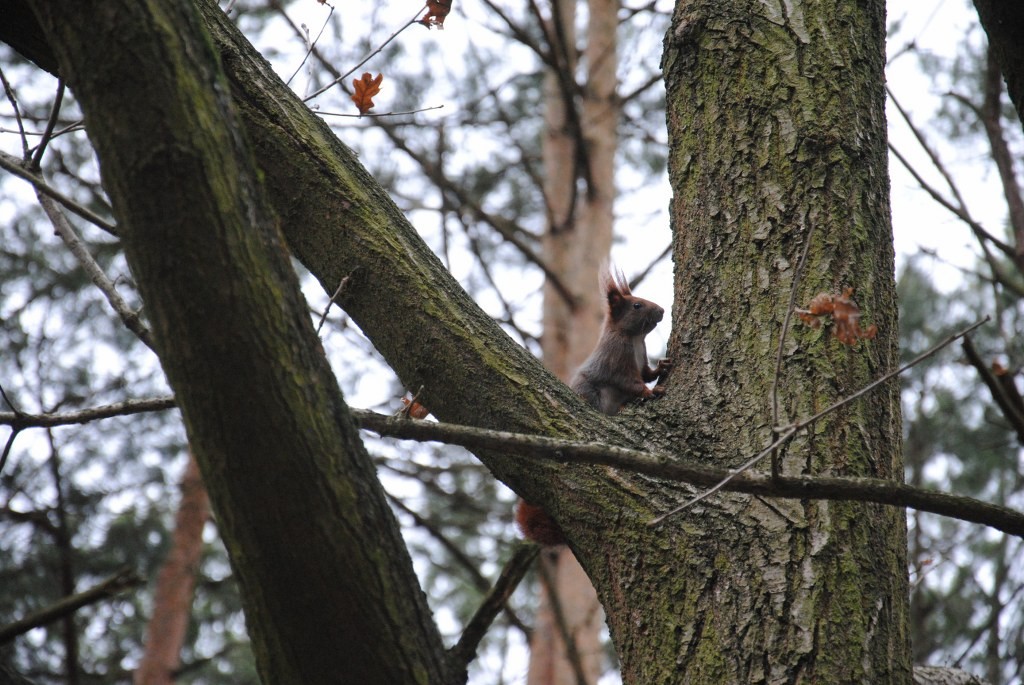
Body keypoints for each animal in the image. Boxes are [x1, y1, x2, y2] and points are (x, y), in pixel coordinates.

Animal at [512, 266, 671, 544]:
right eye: (637, 305)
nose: (661, 310)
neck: (634, 338)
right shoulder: (616, 362)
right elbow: (632, 382)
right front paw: (652, 391)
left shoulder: (640, 360)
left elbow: (646, 373)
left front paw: (661, 367)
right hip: (592, 394)